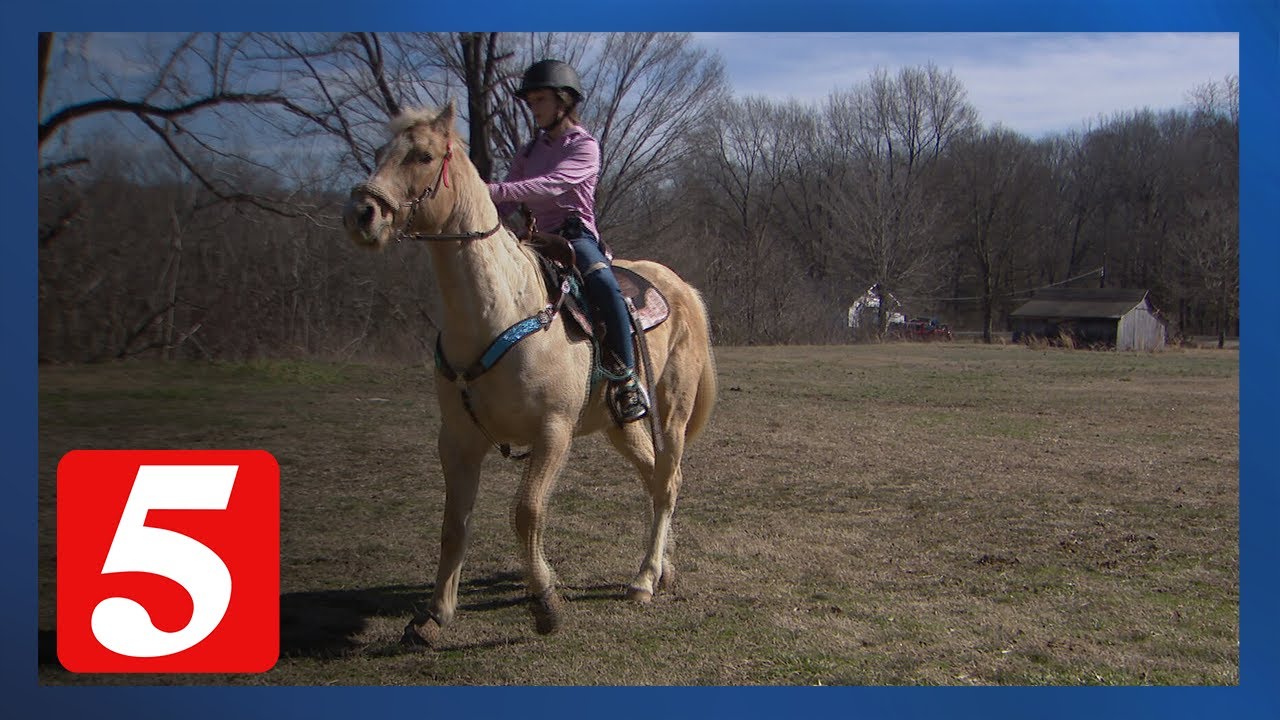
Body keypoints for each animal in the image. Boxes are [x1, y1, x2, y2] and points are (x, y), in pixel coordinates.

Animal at [341, 102, 717, 644]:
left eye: (423, 156)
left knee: (667, 481)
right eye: (378, 152)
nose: (361, 214)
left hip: (673, 409)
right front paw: (434, 615)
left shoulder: (552, 432)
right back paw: (663, 568)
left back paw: (644, 579)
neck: (497, 311)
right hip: (619, 424)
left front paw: (545, 602)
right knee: (653, 478)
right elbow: (454, 524)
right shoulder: (456, 440)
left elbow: (527, 512)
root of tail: (682, 287)